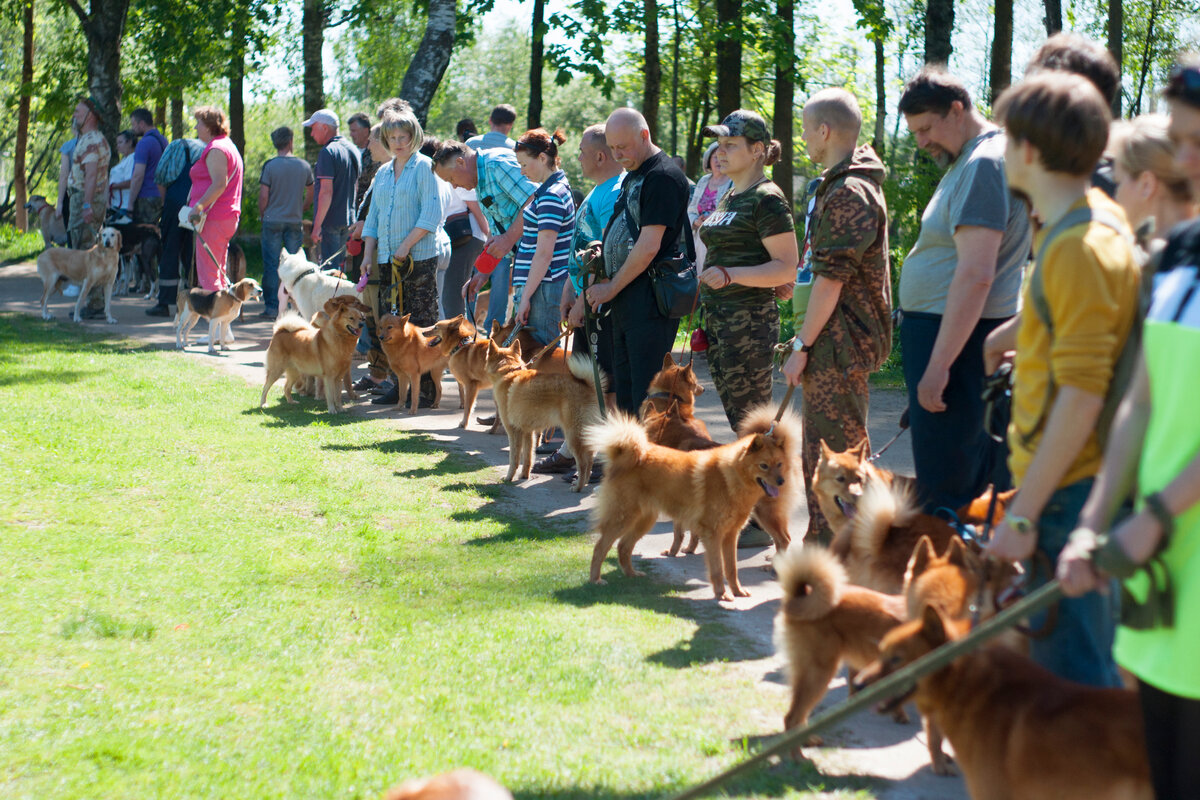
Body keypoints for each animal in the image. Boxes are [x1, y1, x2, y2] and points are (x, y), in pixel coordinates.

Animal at [482, 335, 604, 491]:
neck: (509, 371)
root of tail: (588, 386)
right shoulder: (528, 433)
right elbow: (528, 458)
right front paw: (524, 476)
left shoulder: (514, 432)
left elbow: (514, 459)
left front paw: (509, 478)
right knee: (589, 460)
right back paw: (583, 481)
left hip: (573, 436)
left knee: (583, 463)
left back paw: (578, 487)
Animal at [588, 407, 801, 599]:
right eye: (763, 466)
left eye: (778, 464)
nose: (780, 481)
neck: (731, 476)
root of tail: (628, 454)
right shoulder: (713, 534)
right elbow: (717, 568)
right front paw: (722, 594)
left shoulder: (730, 535)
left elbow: (731, 569)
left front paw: (737, 591)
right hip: (623, 518)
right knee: (601, 547)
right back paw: (595, 580)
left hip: (643, 520)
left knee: (623, 547)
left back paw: (631, 574)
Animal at [772, 544, 902, 753]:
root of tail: (797, 598)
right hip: (819, 672)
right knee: (792, 717)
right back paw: (797, 754)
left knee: (798, 714)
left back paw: (807, 741)